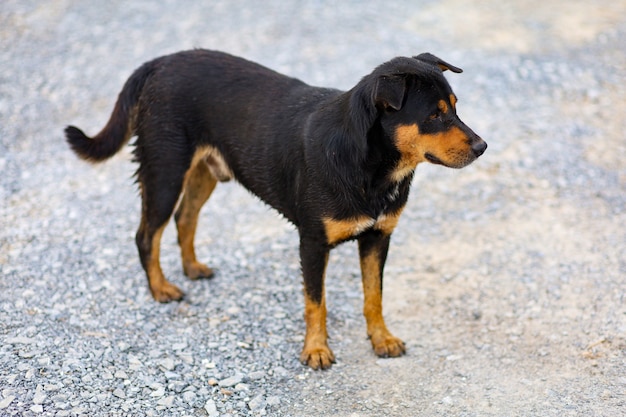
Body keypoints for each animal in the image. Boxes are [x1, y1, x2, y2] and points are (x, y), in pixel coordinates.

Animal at [66, 49, 486, 370]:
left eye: (455, 108)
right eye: (433, 115)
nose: (483, 147)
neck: (371, 165)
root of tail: (159, 62)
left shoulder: (378, 237)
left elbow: (374, 297)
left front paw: (381, 339)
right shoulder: (312, 243)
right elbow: (316, 303)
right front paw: (316, 350)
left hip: (204, 172)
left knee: (186, 218)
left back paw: (192, 267)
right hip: (165, 170)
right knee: (146, 234)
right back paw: (160, 288)